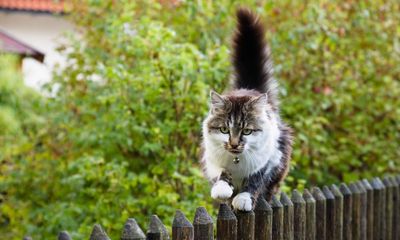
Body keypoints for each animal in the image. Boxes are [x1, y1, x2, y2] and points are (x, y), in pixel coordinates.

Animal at [202, 7, 292, 211]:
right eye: (224, 129)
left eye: (247, 131)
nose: (234, 144)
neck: (237, 161)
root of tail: (250, 88)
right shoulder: (214, 160)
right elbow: (222, 174)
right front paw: (222, 189)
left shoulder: (269, 159)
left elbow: (255, 180)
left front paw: (243, 199)